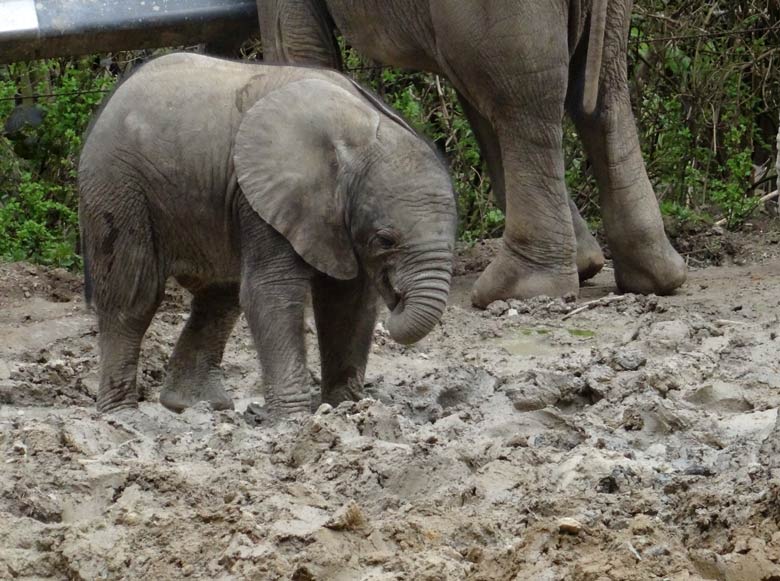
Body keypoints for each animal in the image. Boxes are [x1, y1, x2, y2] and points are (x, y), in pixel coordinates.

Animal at [77, 53, 458, 416]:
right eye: (385, 240)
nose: (398, 298)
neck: (362, 135)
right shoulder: (267, 197)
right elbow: (272, 291)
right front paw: (294, 421)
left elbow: (350, 302)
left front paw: (344, 409)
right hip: (118, 186)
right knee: (133, 296)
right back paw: (123, 416)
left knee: (220, 297)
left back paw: (193, 405)